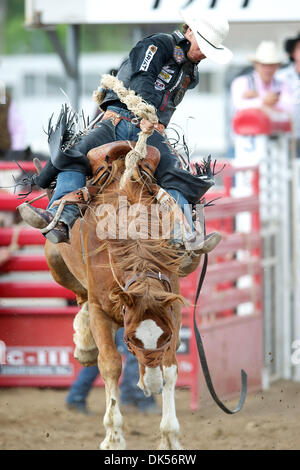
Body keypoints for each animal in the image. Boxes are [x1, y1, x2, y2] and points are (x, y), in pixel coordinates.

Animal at [44, 141, 199, 450]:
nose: (151, 385)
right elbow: (110, 364)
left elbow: (170, 367)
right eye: (129, 340)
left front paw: (170, 437)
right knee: (80, 298)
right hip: (56, 260)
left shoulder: (172, 311)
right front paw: (113, 437)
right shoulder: (102, 311)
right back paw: (84, 345)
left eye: (164, 338)